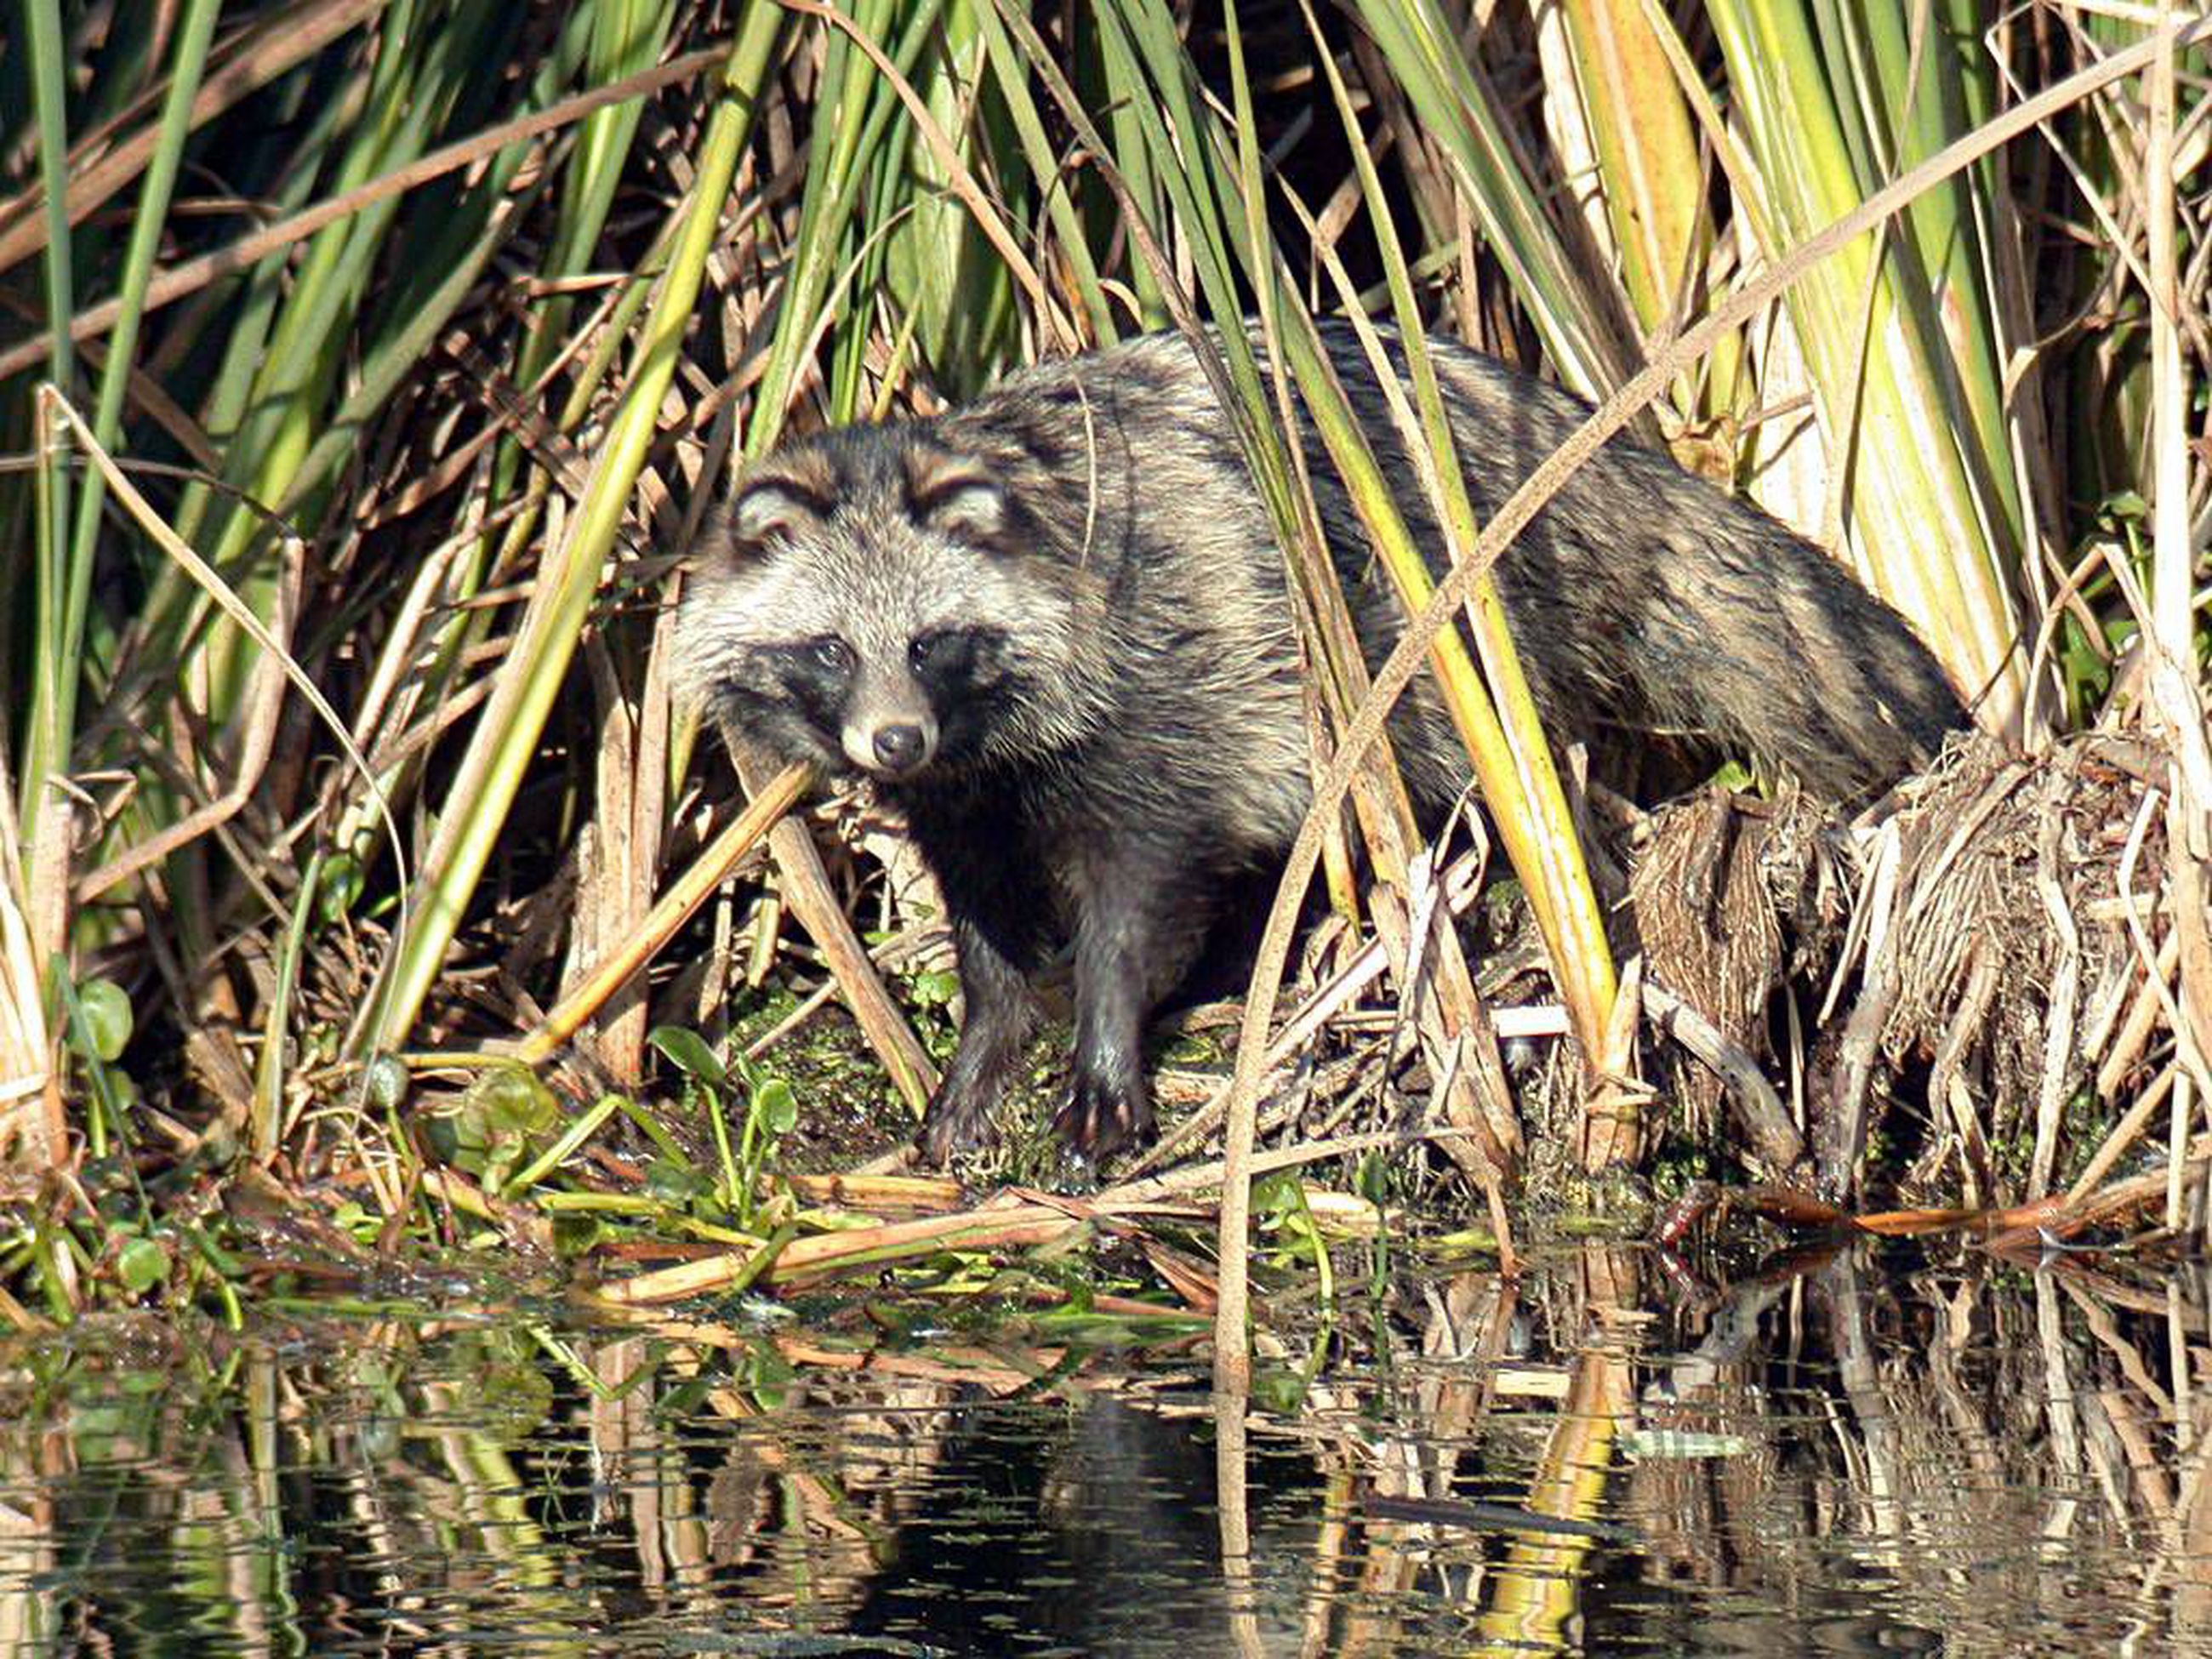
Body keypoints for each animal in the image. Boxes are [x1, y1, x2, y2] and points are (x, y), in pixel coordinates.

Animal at [676, 325, 1973, 1167]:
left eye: (934, 641)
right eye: (832, 649)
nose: (892, 739)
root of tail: (1575, 443)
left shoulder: (1169, 684)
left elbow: (1140, 888)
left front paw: (1106, 1044)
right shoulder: (968, 794)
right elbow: (988, 918)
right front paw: (983, 1053)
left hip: (1448, 625)